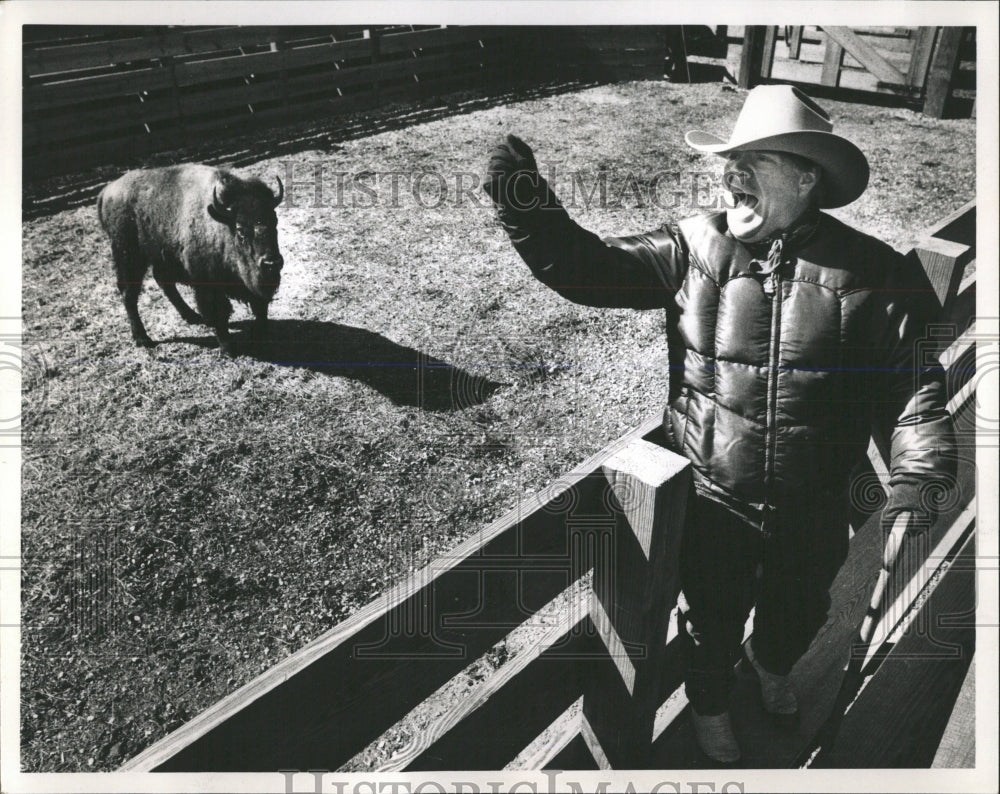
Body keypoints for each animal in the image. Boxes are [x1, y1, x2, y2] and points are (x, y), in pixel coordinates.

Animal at [96, 164, 286, 356]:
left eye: (275, 221)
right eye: (240, 229)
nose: (272, 263)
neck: (220, 225)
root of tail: (106, 192)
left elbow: (260, 307)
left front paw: (260, 333)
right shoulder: (207, 284)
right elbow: (220, 313)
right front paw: (228, 349)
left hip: (160, 259)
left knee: (164, 283)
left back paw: (192, 316)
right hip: (128, 256)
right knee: (129, 294)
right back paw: (143, 338)